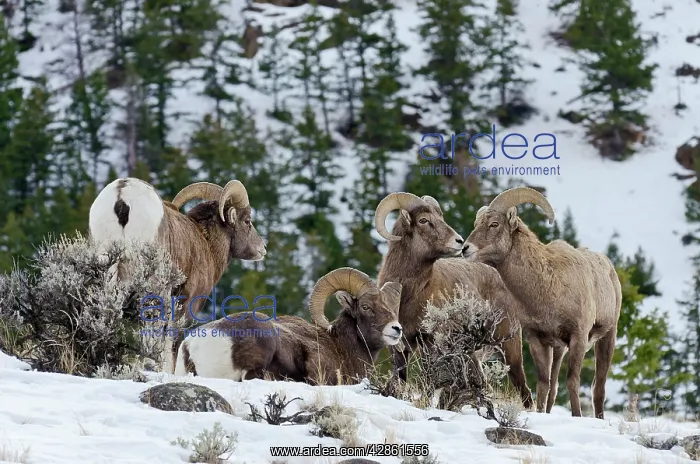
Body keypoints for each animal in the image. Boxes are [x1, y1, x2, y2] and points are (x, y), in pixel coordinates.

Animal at [88, 177, 267, 373]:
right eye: (247, 221)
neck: (205, 242)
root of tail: (122, 195)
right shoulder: (185, 302)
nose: (263, 248)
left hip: (109, 272)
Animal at [374, 192, 533, 408]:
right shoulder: (399, 346)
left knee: (523, 389)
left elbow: (428, 380)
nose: (459, 241)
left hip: (509, 347)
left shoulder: (430, 342)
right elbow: (400, 378)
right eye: (423, 220)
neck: (410, 293)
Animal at [461, 186, 622, 419]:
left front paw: (577, 416)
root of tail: (609, 267)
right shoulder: (538, 340)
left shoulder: (578, 338)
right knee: (554, 387)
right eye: (476, 223)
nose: (465, 249)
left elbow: (572, 381)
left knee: (598, 387)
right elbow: (544, 384)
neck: (548, 288)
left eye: (494, 224)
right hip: (559, 349)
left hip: (607, 337)